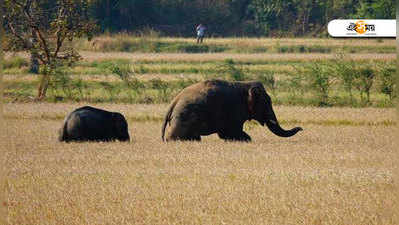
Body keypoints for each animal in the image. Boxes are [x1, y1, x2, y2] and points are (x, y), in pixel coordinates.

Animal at [162, 80, 304, 142]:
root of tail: (173, 103)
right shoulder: (234, 109)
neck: (244, 84)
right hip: (183, 118)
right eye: (267, 103)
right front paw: (247, 139)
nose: (301, 128)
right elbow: (231, 133)